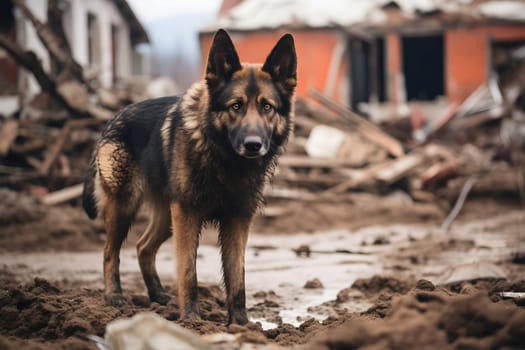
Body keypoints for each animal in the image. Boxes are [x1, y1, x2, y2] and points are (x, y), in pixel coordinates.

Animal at [81, 30, 294, 326]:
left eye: (267, 107)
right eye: (235, 106)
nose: (253, 145)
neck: (225, 161)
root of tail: (113, 118)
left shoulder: (238, 220)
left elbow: (237, 278)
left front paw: (241, 325)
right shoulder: (187, 214)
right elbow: (187, 272)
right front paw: (192, 319)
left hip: (166, 218)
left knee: (143, 247)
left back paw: (158, 295)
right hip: (125, 207)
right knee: (109, 252)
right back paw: (114, 296)